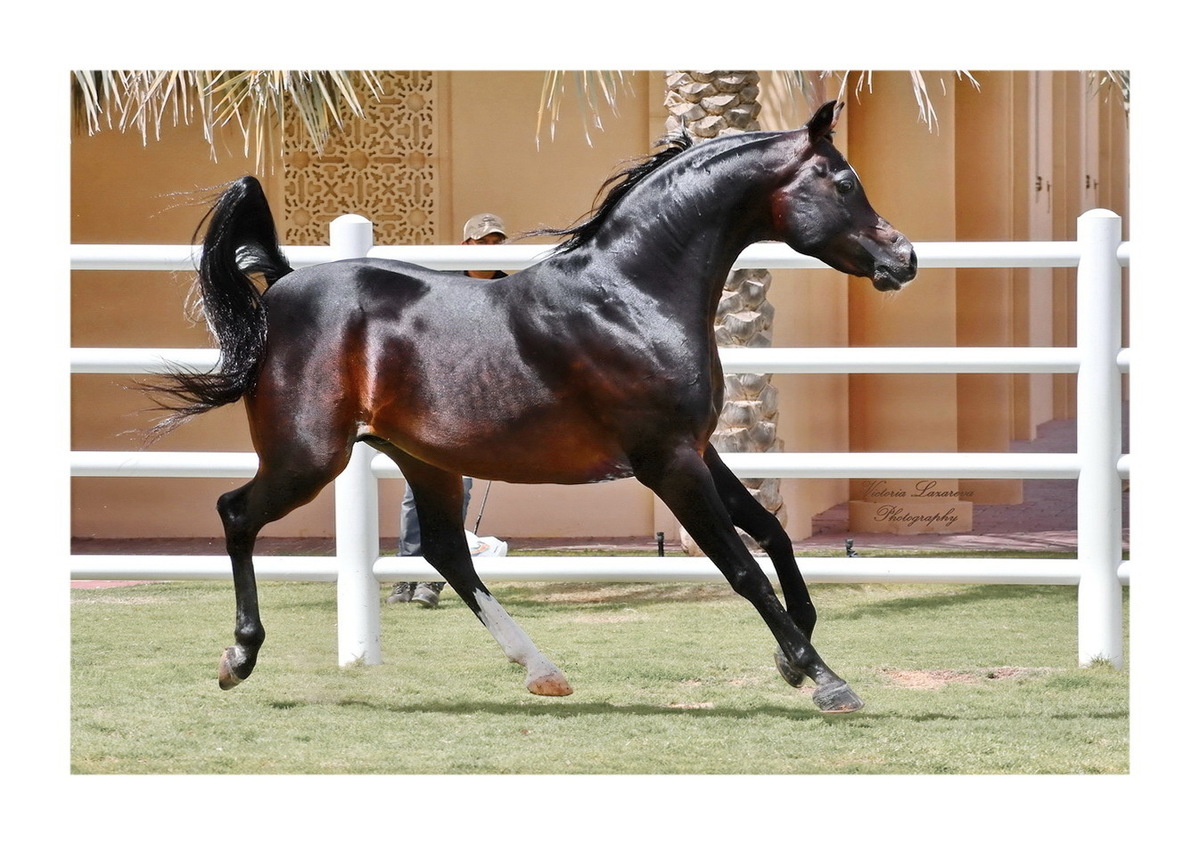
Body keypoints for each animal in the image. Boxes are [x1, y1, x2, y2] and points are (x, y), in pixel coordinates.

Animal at [154, 102, 912, 715]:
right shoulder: (668, 462)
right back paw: (239, 657)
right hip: (308, 458)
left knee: (447, 552)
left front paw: (792, 657)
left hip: (423, 459)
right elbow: (743, 567)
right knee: (237, 513)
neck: (632, 294)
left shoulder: (697, 448)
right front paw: (826, 679)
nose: (903, 258)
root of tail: (280, 286)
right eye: (844, 182)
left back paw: (543, 670)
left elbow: (774, 535)